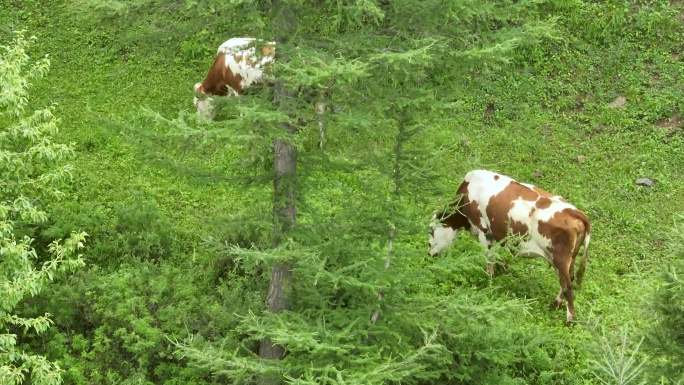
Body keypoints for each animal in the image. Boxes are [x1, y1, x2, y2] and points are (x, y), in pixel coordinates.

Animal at [194, 36, 330, 147]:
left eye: (197, 104)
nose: (199, 124)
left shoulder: (238, 90)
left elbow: (243, 112)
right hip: (319, 94)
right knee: (321, 116)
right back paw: (320, 144)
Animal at [430, 170, 592, 322]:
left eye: (431, 231)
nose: (429, 254)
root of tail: (574, 212)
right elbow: (495, 254)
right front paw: (504, 267)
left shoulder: (482, 228)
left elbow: (489, 256)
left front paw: (489, 280)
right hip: (570, 257)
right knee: (569, 279)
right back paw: (554, 304)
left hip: (560, 258)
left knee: (568, 287)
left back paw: (570, 320)